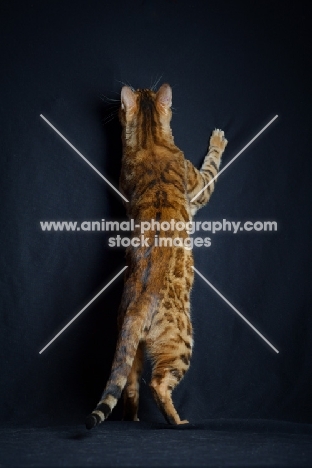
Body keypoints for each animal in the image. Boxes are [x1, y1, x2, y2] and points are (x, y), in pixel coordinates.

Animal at [85, 83, 227, 428]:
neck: (150, 142)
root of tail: (137, 305)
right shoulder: (198, 185)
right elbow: (212, 166)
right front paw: (218, 140)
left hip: (132, 347)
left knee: (130, 385)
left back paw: (133, 420)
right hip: (181, 342)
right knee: (158, 383)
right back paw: (177, 422)